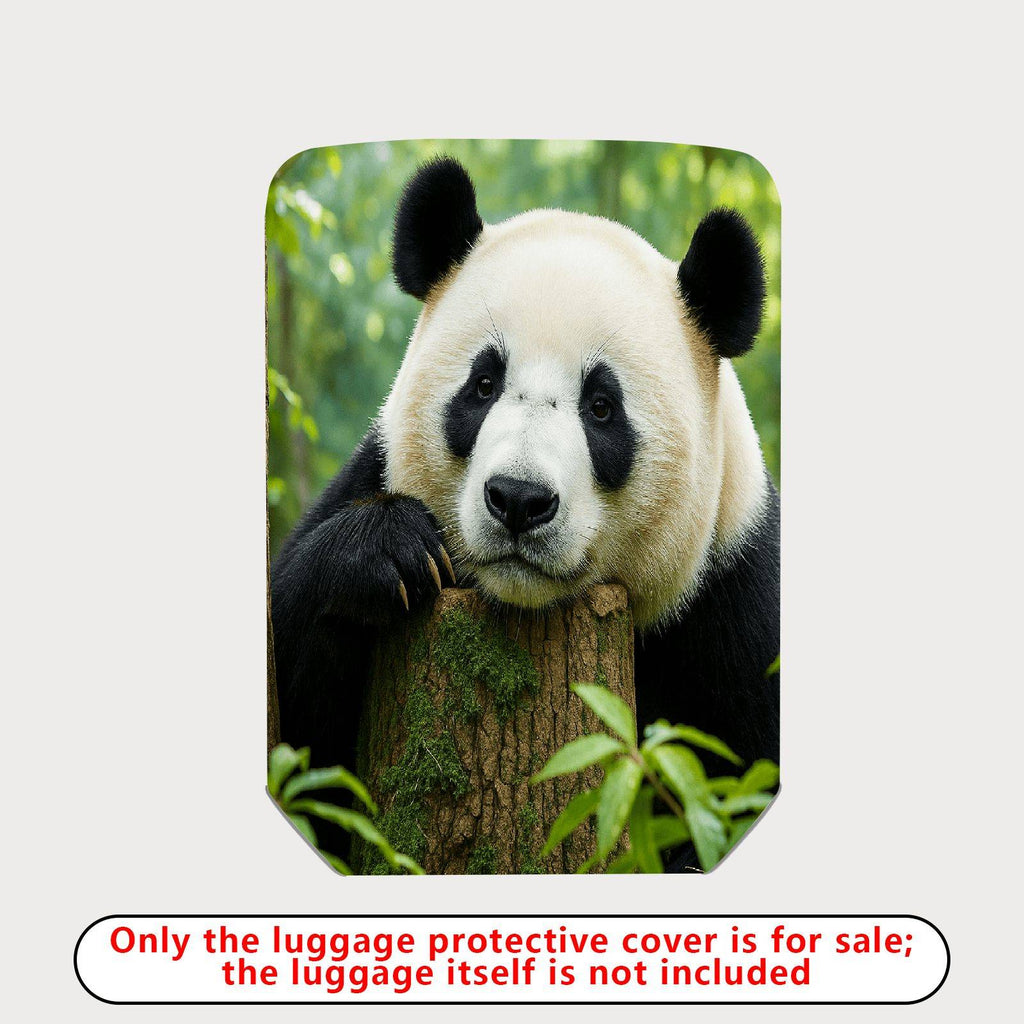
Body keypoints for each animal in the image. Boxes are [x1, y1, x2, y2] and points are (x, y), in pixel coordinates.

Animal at [270, 156, 779, 870]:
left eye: (602, 407)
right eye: (483, 385)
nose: (518, 499)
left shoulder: (733, 604)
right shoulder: (370, 474)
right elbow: (294, 725)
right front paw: (389, 553)